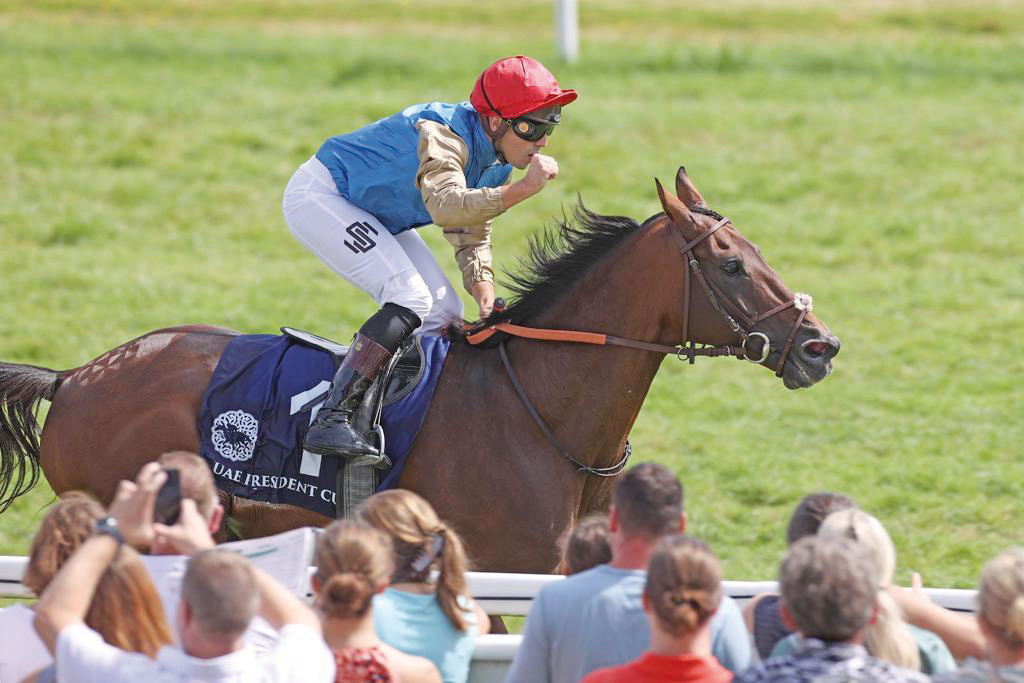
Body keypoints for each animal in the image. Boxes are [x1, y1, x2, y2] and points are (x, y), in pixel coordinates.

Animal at [0, 167, 835, 573]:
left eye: (756, 252)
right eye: (730, 265)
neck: (540, 411)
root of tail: (75, 377)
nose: (818, 345)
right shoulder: (498, 573)